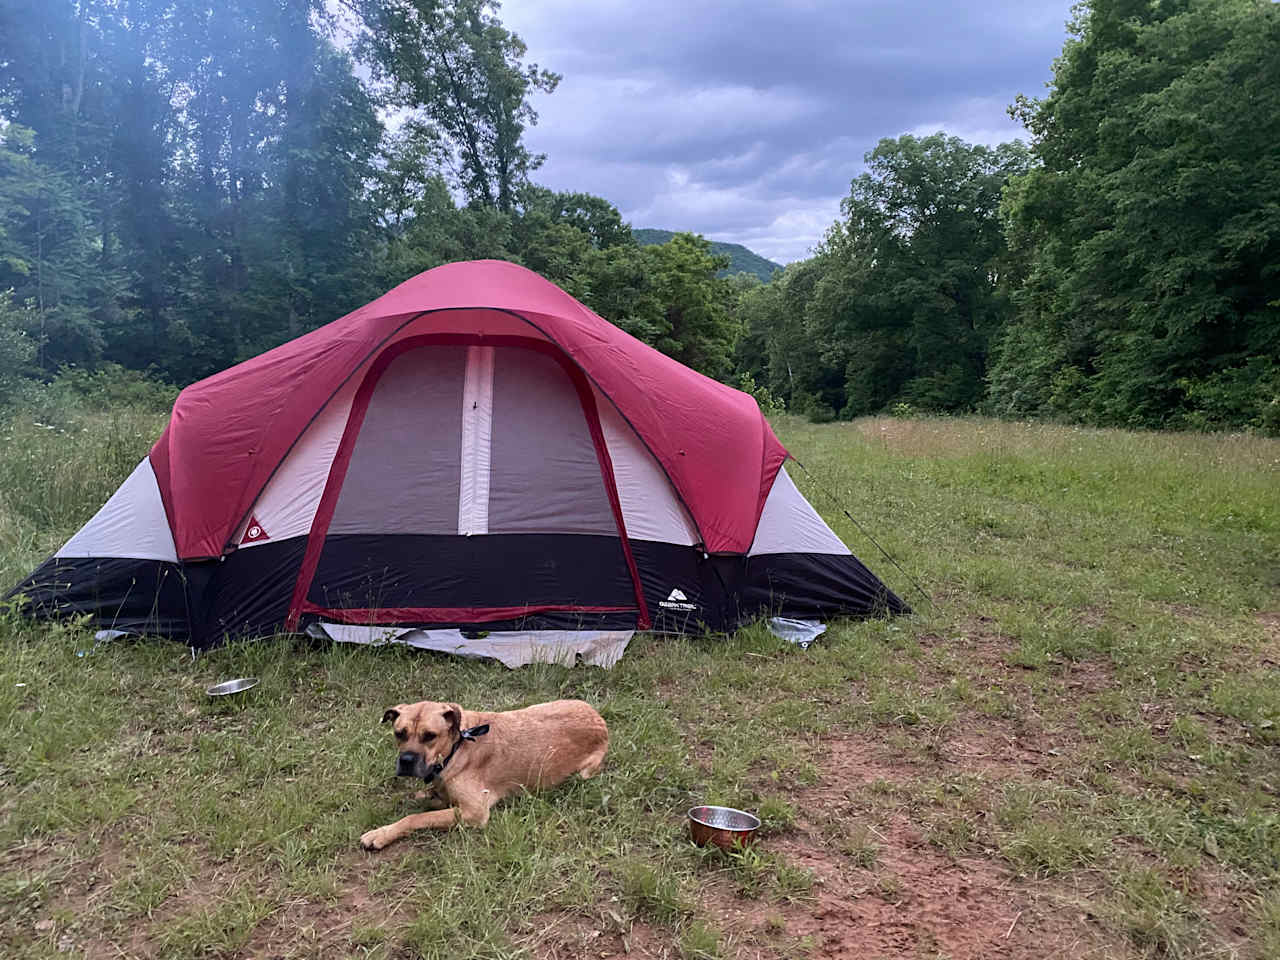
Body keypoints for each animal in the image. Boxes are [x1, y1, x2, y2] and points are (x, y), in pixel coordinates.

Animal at [360, 701, 609, 855]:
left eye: (430, 736)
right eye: (399, 733)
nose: (406, 760)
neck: (457, 746)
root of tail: (600, 721)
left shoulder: (475, 811)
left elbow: (416, 818)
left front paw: (381, 833)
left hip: (584, 772)